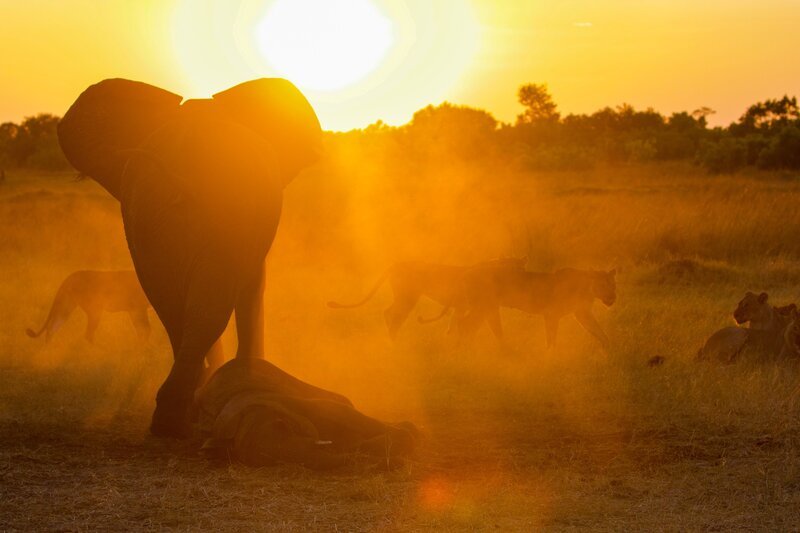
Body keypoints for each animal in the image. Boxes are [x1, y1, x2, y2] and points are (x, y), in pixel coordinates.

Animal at [327, 258, 525, 339]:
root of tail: (396, 264)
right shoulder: (469, 306)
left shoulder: (459, 307)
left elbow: (454, 324)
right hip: (408, 297)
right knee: (393, 315)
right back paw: (395, 342)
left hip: (403, 297)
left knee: (388, 312)